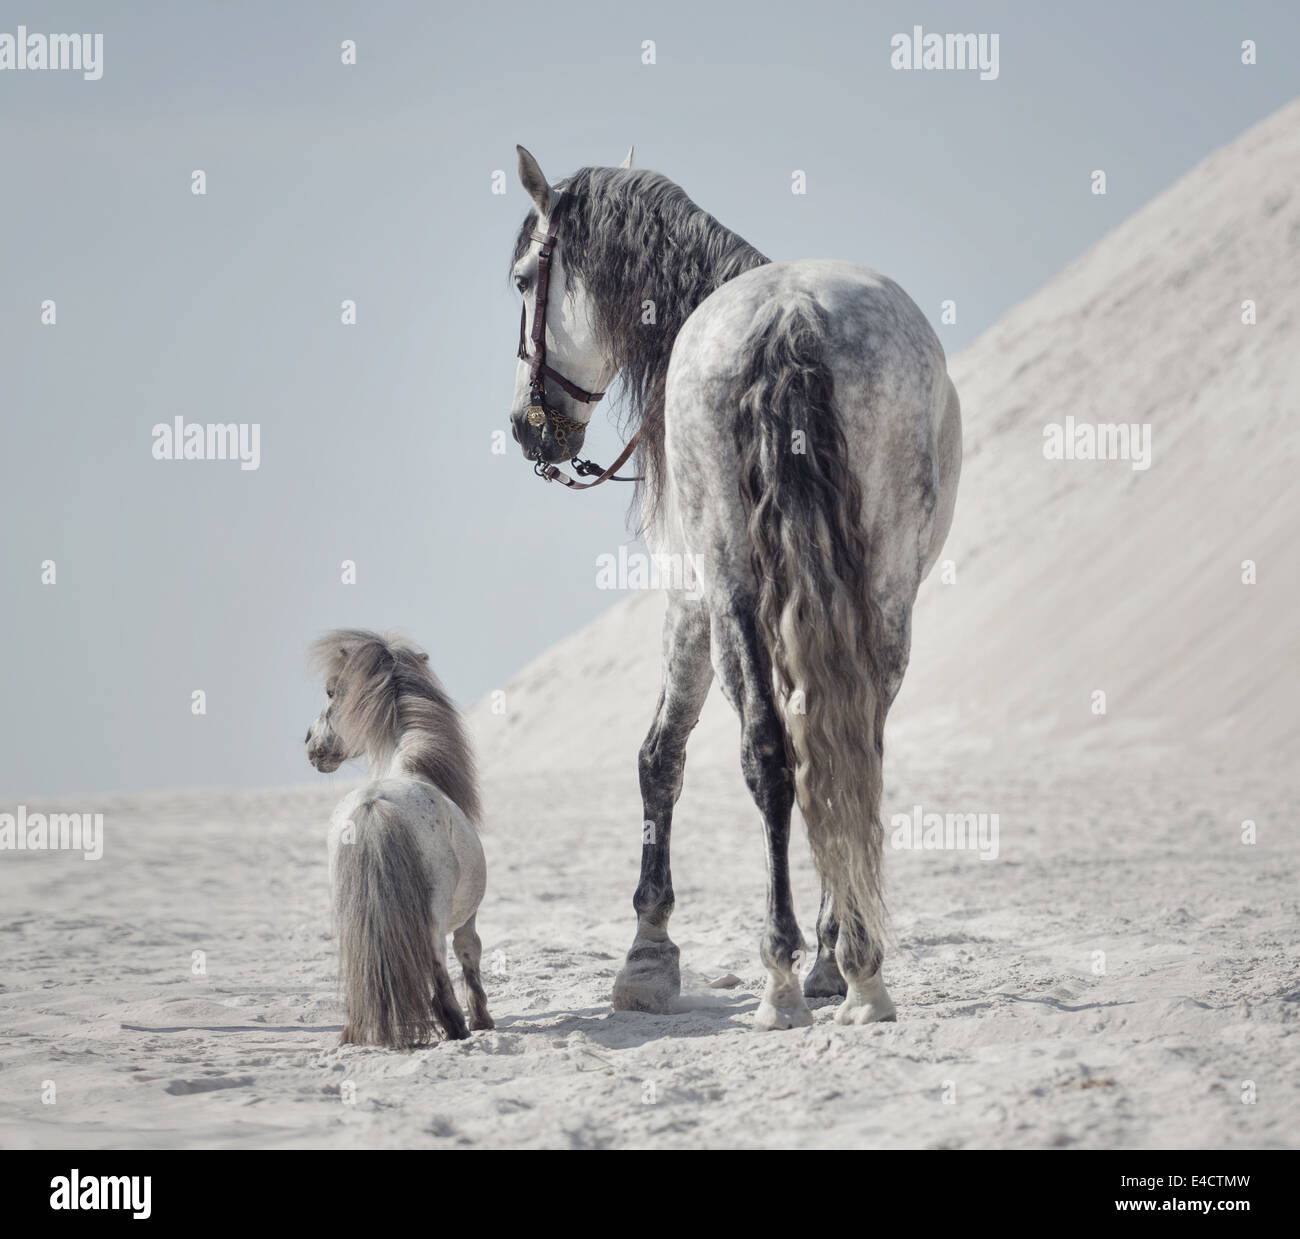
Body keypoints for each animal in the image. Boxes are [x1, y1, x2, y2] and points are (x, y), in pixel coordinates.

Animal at [305, 629, 493, 1046]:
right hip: (433, 920)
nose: (310, 743)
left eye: (330, 692)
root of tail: (373, 806)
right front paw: (483, 1019)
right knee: (439, 969)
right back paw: (456, 1028)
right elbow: (469, 953)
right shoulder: (468, 916)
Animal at [506, 146, 961, 1030]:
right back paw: (855, 968)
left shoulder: (690, 598)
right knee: (847, 743)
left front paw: (648, 956)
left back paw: (787, 974)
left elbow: (659, 756)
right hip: (886, 589)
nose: (524, 425)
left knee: (771, 752)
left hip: (731, 585)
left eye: (520, 281)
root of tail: (790, 315)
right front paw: (830, 954)